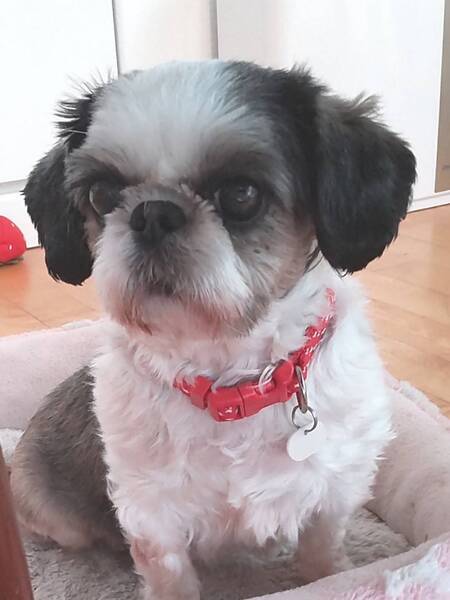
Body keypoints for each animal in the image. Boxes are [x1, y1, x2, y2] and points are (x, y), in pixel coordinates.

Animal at [11, 60, 416, 599]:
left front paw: (334, 576)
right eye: (103, 194)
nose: (152, 212)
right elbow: (169, 575)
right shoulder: (152, 514)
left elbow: (323, 549)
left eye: (242, 194)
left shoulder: (336, 484)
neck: (233, 383)